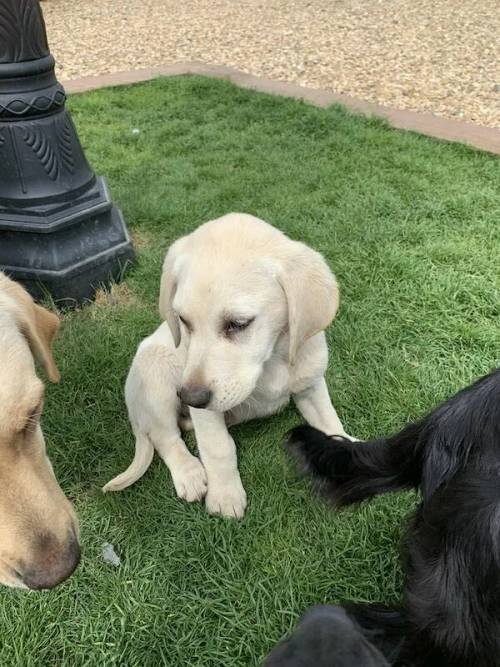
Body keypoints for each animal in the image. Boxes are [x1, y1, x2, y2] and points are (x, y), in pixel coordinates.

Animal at [103, 217, 350, 520]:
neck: (272, 361)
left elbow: (330, 421)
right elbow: (219, 447)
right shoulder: (205, 409)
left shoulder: (311, 384)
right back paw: (190, 473)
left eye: (238, 323)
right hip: (155, 377)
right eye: (183, 321)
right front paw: (225, 496)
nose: (190, 398)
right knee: (165, 436)